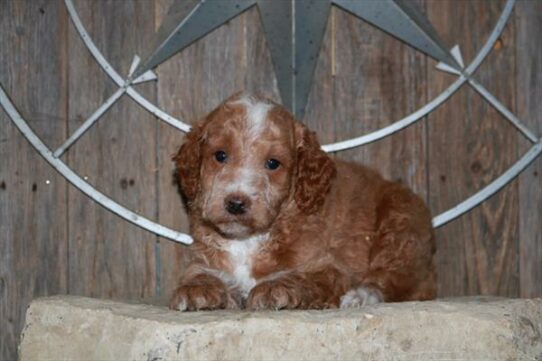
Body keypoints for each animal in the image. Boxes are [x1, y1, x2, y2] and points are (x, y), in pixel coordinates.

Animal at [170, 93, 438, 310]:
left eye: (273, 163)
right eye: (220, 155)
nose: (236, 203)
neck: (248, 240)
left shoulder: (330, 267)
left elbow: (305, 277)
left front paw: (275, 288)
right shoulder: (204, 257)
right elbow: (198, 272)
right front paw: (196, 289)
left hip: (401, 227)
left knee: (393, 280)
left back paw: (360, 296)